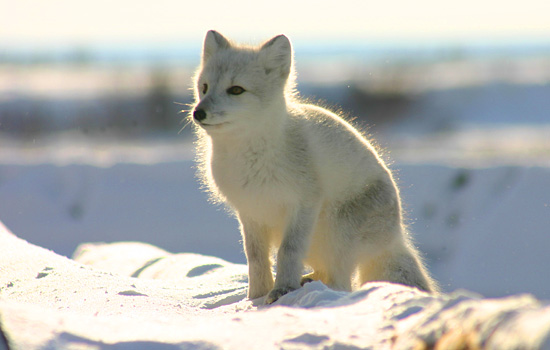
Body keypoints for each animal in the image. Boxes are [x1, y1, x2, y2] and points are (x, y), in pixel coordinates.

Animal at [192, 30, 438, 304]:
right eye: (204, 87)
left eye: (236, 90)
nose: (198, 113)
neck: (251, 156)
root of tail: (396, 235)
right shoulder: (250, 212)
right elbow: (255, 258)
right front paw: (255, 298)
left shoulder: (304, 203)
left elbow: (288, 252)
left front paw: (281, 292)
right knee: (325, 273)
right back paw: (307, 282)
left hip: (338, 234)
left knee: (342, 284)